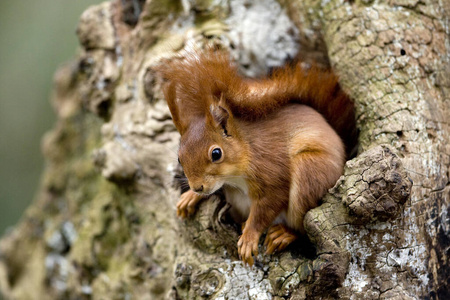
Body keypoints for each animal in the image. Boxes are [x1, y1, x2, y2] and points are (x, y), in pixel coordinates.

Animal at [160, 50, 356, 266]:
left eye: (216, 153)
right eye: (179, 158)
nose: (197, 187)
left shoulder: (272, 170)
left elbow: (266, 207)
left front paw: (249, 237)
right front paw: (190, 197)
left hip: (311, 170)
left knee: (302, 225)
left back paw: (285, 234)